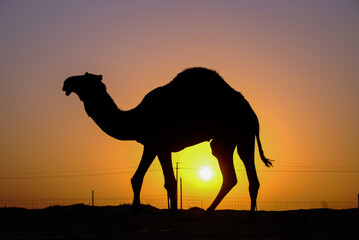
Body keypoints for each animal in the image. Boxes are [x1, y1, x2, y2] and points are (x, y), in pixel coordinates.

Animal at [63, 67, 274, 214]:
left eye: (84, 79)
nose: (67, 82)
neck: (137, 118)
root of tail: (253, 114)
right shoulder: (158, 146)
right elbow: (156, 180)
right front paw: (161, 211)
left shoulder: (155, 143)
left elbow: (152, 180)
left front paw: (142, 211)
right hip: (228, 140)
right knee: (235, 174)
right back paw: (212, 212)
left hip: (241, 134)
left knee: (244, 172)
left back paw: (242, 215)